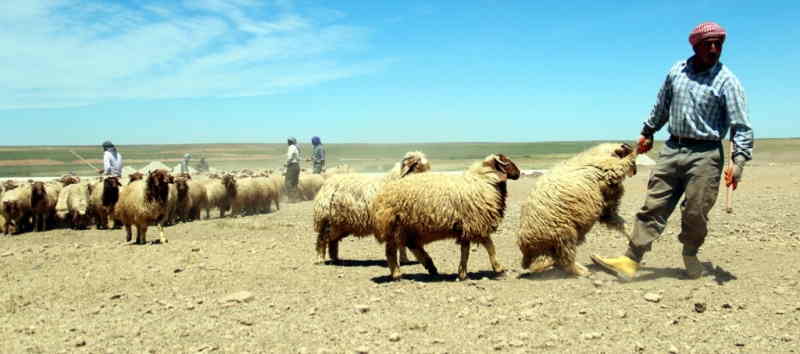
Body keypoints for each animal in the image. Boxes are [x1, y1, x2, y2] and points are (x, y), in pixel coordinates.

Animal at [374, 153, 520, 280]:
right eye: (507, 162)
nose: (518, 173)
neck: (484, 180)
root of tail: (384, 194)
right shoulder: (477, 224)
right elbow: (490, 246)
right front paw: (499, 269)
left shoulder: (467, 227)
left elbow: (465, 251)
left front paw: (462, 273)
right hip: (396, 226)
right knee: (391, 251)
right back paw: (397, 275)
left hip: (409, 227)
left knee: (413, 246)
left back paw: (431, 267)